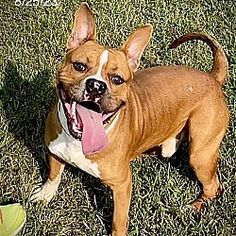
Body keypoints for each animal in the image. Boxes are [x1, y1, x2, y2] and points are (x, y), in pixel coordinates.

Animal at [30, 2, 228, 236]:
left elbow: (118, 220)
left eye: (117, 79)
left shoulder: (122, 185)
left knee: (213, 187)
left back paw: (194, 206)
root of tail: (213, 78)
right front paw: (45, 194)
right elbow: (53, 174)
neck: (78, 140)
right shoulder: (54, 151)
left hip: (200, 155)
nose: (96, 86)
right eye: (79, 66)